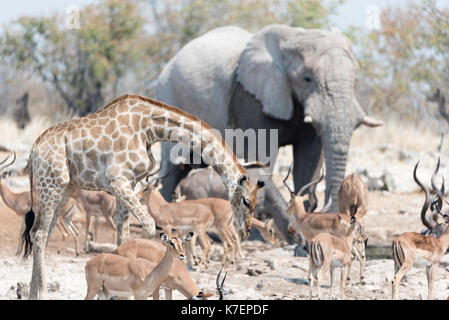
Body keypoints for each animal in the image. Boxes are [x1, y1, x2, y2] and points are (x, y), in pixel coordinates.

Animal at [21, 94, 264, 298]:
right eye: (246, 201)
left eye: (255, 203)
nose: (245, 231)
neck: (149, 127)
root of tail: (34, 150)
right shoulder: (117, 180)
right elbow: (147, 227)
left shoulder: (128, 182)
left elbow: (123, 236)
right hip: (52, 184)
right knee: (40, 234)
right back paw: (42, 293)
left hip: (66, 187)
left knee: (39, 232)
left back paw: (31, 292)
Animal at [155, 24, 382, 210]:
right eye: (307, 78)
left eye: (355, 79)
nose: (323, 207)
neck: (295, 36)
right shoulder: (252, 99)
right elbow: (262, 155)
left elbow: (309, 158)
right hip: (169, 99)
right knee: (171, 166)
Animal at [390, 161, 448, 302]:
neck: (440, 242)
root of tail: (397, 239)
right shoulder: (434, 265)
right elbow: (432, 287)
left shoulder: (427, 267)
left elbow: (428, 287)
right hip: (406, 265)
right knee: (396, 280)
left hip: (397, 264)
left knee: (392, 280)